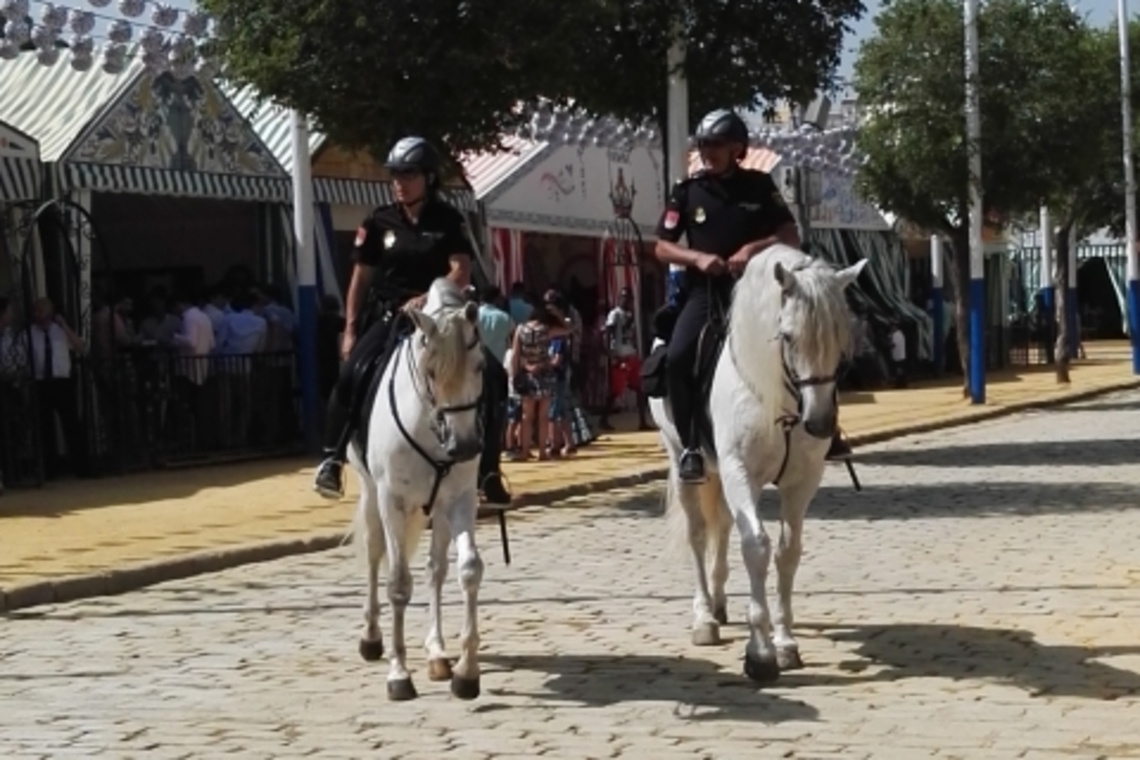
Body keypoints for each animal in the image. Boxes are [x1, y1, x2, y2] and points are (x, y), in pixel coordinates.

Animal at [348, 276, 487, 706]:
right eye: (429, 371)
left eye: (480, 367)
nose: (464, 446)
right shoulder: (391, 501)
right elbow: (397, 584)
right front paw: (398, 674)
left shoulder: (459, 500)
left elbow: (468, 569)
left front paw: (466, 672)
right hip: (372, 496)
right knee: (374, 555)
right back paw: (372, 638)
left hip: (437, 509)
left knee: (436, 569)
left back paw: (438, 653)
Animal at [652, 248, 861, 683]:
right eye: (787, 336)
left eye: (841, 338)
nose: (820, 423)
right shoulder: (740, 473)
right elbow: (757, 547)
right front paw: (760, 651)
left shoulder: (802, 482)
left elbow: (787, 551)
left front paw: (785, 642)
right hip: (681, 460)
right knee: (699, 534)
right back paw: (704, 618)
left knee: (722, 527)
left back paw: (718, 604)